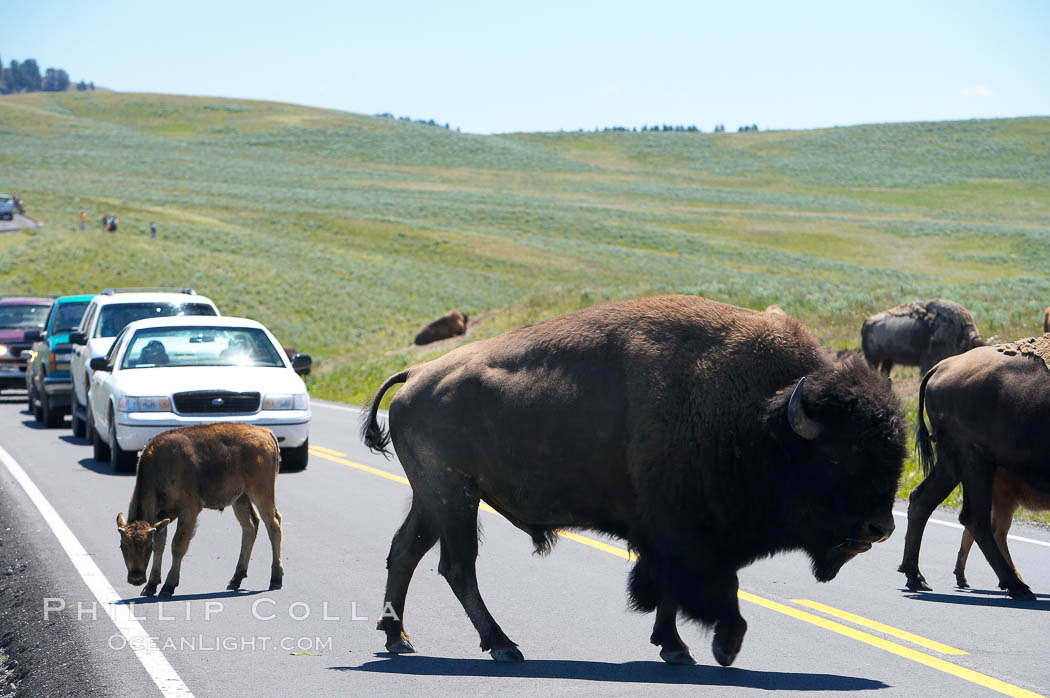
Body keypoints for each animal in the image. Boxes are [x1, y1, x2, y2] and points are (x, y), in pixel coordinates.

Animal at [365, 291, 907, 663]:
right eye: (837, 457)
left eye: (895, 453)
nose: (879, 528)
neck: (761, 417)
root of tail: (415, 374)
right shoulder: (684, 535)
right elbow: (709, 588)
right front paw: (723, 646)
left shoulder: (678, 537)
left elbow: (671, 594)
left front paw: (676, 648)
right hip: (454, 497)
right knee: (457, 567)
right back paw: (502, 645)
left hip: (434, 498)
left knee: (405, 552)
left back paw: (398, 638)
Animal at [898, 333, 1050, 600]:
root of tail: (942, 366)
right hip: (974, 463)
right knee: (976, 520)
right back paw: (1017, 586)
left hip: (952, 464)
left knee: (921, 500)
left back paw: (916, 578)